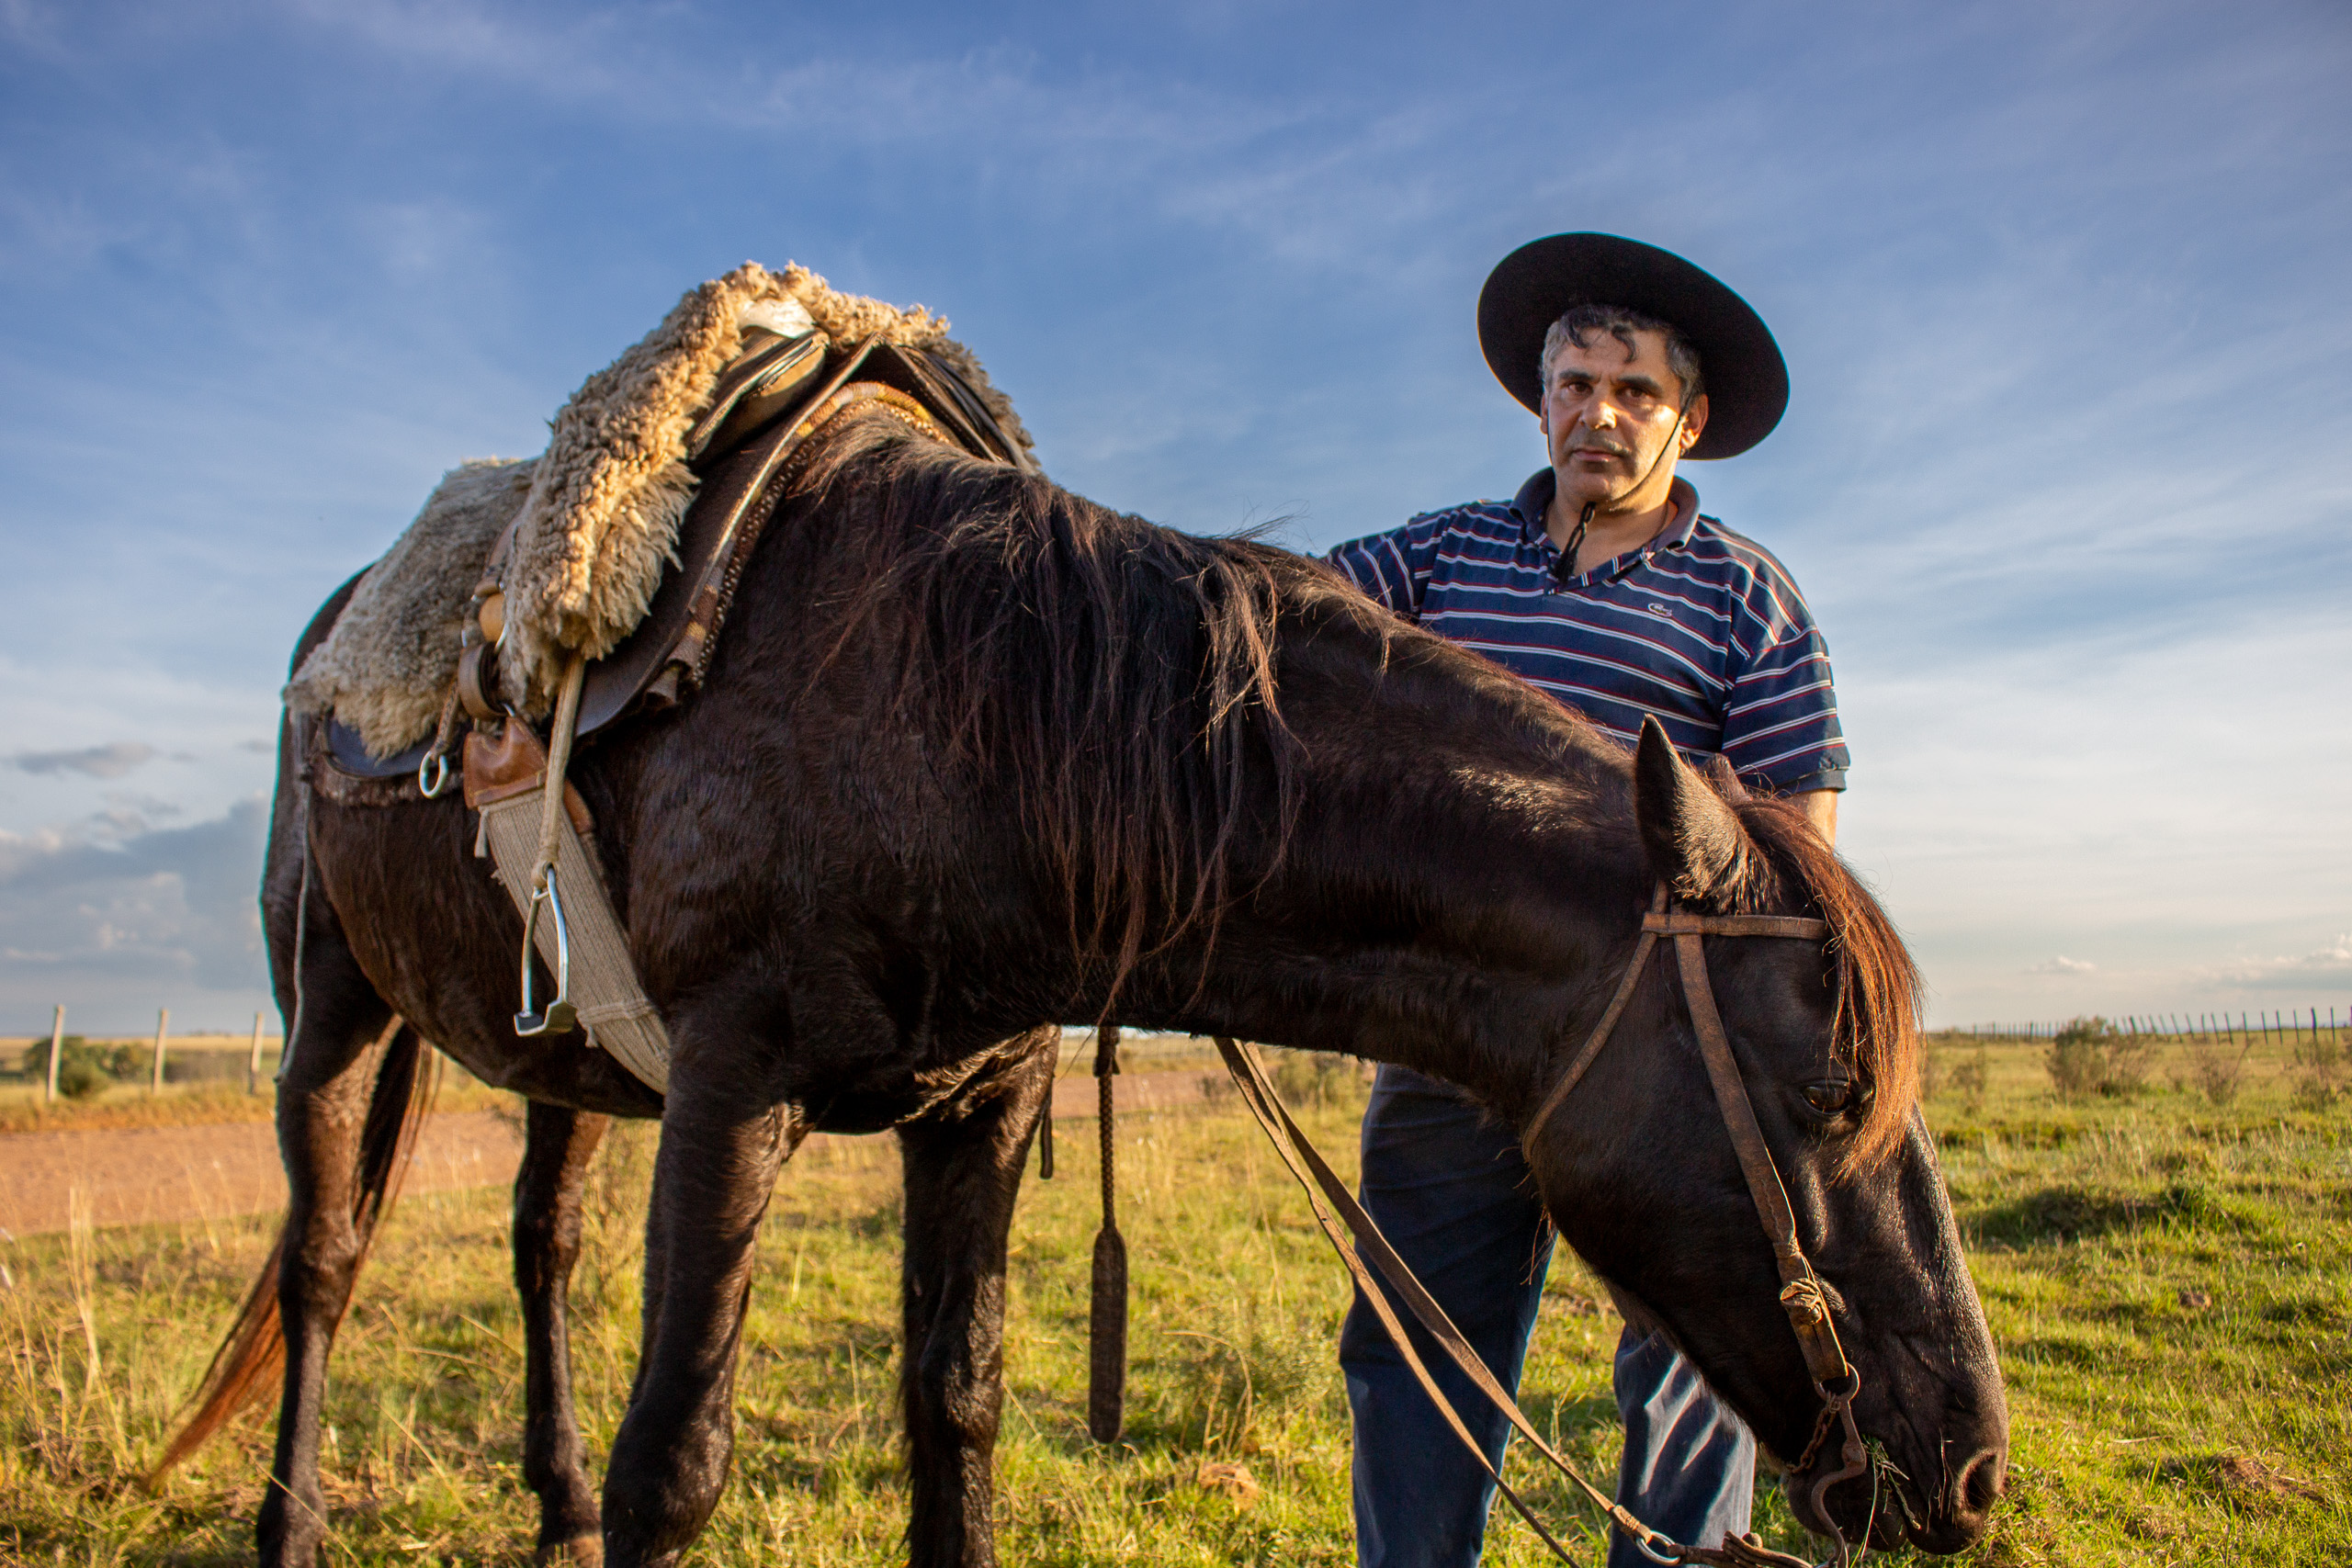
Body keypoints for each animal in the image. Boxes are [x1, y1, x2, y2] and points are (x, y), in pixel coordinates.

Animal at [159, 404, 2006, 1567]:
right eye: (1829, 1092)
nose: (1971, 1465)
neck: (953, 717)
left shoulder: (980, 1104)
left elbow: (957, 1409)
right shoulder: (729, 1087)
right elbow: (675, 1464)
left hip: (569, 1064)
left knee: (541, 1246)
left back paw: (544, 1505)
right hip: (332, 1015)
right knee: (322, 1261)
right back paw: (290, 1522)